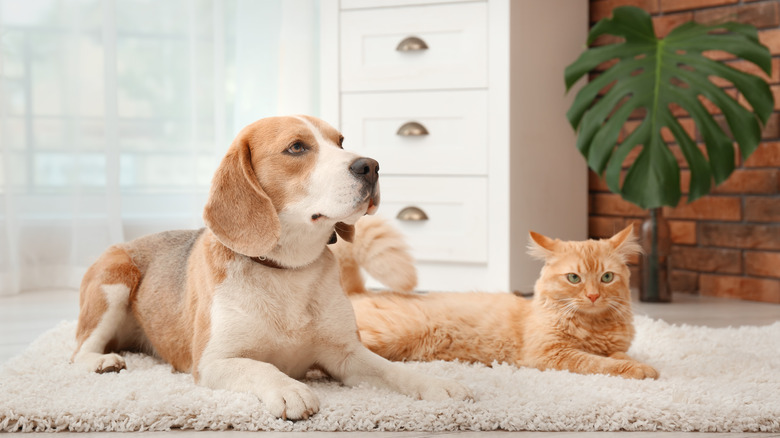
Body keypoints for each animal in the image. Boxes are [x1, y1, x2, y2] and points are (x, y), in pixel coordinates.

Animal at [71, 116, 470, 420]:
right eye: (297, 147)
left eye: (341, 141)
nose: (370, 165)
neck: (285, 270)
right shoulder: (213, 362)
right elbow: (261, 366)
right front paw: (289, 388)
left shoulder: (346, 355)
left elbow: (391, 369)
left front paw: (436, 383)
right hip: (114, 284)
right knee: (78, 352)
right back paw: (102, 362)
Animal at [336, 219, 660, 380]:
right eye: (574, 278)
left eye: (606, 278)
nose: (593, 295)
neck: (593, 326)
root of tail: (357, 291)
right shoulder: (551, 354)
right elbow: (598, 363)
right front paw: (640, 370)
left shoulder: (613, 346)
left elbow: (619, 356)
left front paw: (640, 365)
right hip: (383, 336)